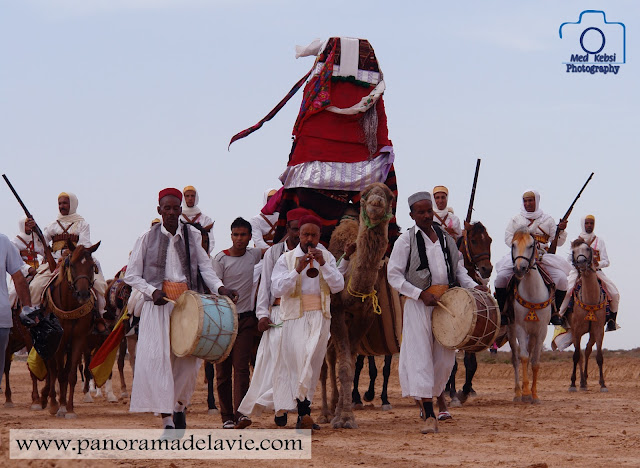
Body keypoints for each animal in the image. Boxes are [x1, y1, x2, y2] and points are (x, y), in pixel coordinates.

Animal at [40, 241, 100, 416]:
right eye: (72, 265)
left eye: (92, 266)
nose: (83, 294)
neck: (70, 306)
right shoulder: (59, 341)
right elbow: (59, 373)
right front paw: (60, 407)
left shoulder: (79, 339)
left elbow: (71, 374)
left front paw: (70, 408)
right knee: (52, 370)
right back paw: (52, 402)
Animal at [316, 182, 392, 428]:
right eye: (365, 194)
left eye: (389, 195)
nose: (376, 202)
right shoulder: (337, 312)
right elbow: (343, 366)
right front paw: (342, 418)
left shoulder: (365, 317)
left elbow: (348, 361)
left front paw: (344, 415)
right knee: (324, 363)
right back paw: (324, 413)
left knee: (332, 356)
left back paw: (333, 407)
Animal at [444, 221, 496, 404]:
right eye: (473, 240)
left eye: (489, 240)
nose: (487, 268)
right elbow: (453, 365)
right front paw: (454, 394)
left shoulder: (474, 333)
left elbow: (471, 364)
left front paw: (465, 391)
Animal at [508, 227, 552, 402]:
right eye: (513, 245)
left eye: (531, 245)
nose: (519, 269)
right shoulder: (520, 327)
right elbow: (524, 357)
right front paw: (526, 393)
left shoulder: (541, 330)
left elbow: (535, 362)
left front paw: (534, 394)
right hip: (511, 331)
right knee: (515, 359)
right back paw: (517, 392)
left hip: (533, 335)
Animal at [568, 239, 608, 394]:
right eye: (573, 251)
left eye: (587, 249)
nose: (581, 263)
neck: (590, 299)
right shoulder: (576, 330)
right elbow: (575, 356)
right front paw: (572, 384)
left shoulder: (598, 330)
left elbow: (599, 356)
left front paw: (603, 384)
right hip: (574, 333)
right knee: (579, 354)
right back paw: (580, 382)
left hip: (591, 333)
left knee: (587, 350)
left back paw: (584, 381)